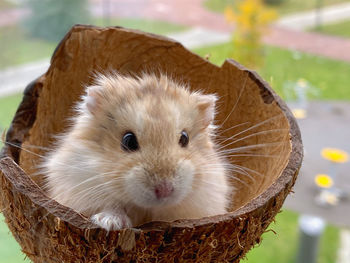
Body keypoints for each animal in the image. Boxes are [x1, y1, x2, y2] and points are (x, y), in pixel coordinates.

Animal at [42, 74, 231, 231]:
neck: (146, 209)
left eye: (184, 138)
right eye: (128, 141)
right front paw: (110, 223)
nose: (164, 190)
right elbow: (111, 206)